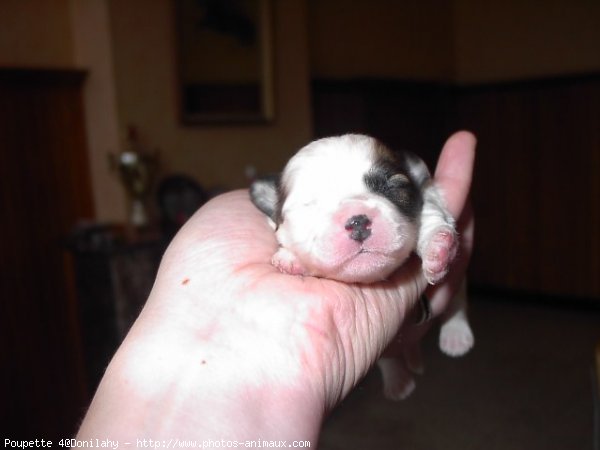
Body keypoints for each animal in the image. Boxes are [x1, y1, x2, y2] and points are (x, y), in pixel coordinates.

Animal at [248, 134, 474, 400]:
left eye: (391, 187)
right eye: (309, 205)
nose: (357, 221)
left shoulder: (428, 198)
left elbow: (431, 215)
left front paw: (438, 248)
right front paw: (291, 259)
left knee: (457, 298)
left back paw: (456, 336)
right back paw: (399, 381)